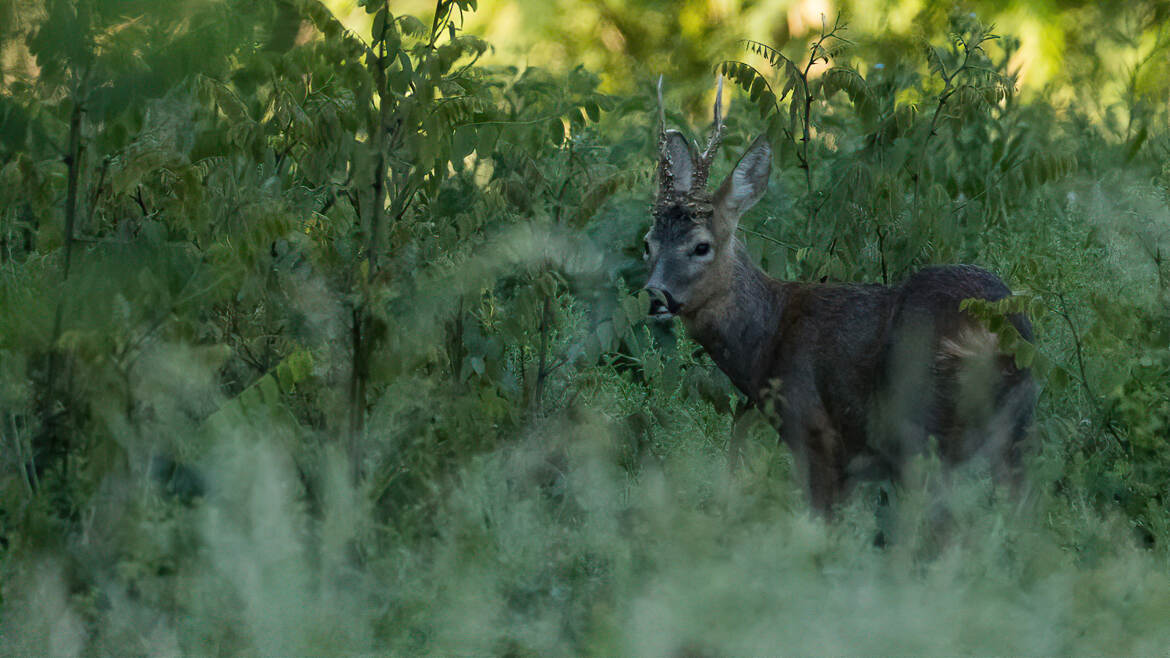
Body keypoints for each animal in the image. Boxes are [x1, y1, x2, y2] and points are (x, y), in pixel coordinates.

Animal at [645, 77, 1038, 512]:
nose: (656, 295)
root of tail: (1000, 329)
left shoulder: (814, 431)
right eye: (648, 244)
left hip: (922, 420)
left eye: (701, 246)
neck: (768, 337)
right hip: (1013, 429)